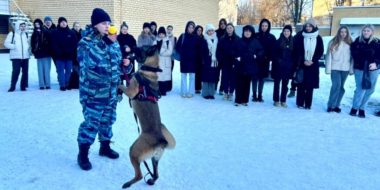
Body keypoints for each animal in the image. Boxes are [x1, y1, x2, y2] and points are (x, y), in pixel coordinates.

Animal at [118, 45, 176, 189]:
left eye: (140, 48)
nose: (130, 46)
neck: (150, 68)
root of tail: (161, 141)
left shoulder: (131, 91)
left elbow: (121, 84)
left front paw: (117, 85)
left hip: (133, 152)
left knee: (139, 175)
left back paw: (127, 184)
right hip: (155, 159)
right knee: (156, 174)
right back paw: (150, 181)